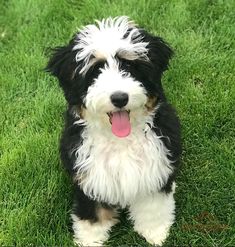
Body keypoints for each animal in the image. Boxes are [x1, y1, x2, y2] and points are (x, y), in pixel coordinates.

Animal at [46, 16, 182, 246]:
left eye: (129, 66)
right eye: (95, 71)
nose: (119, 98)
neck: (120, 140)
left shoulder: (156, 167)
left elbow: (153, 205)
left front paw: (155, 231)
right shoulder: (88, 174)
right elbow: (93, 212)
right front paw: (90, 239)